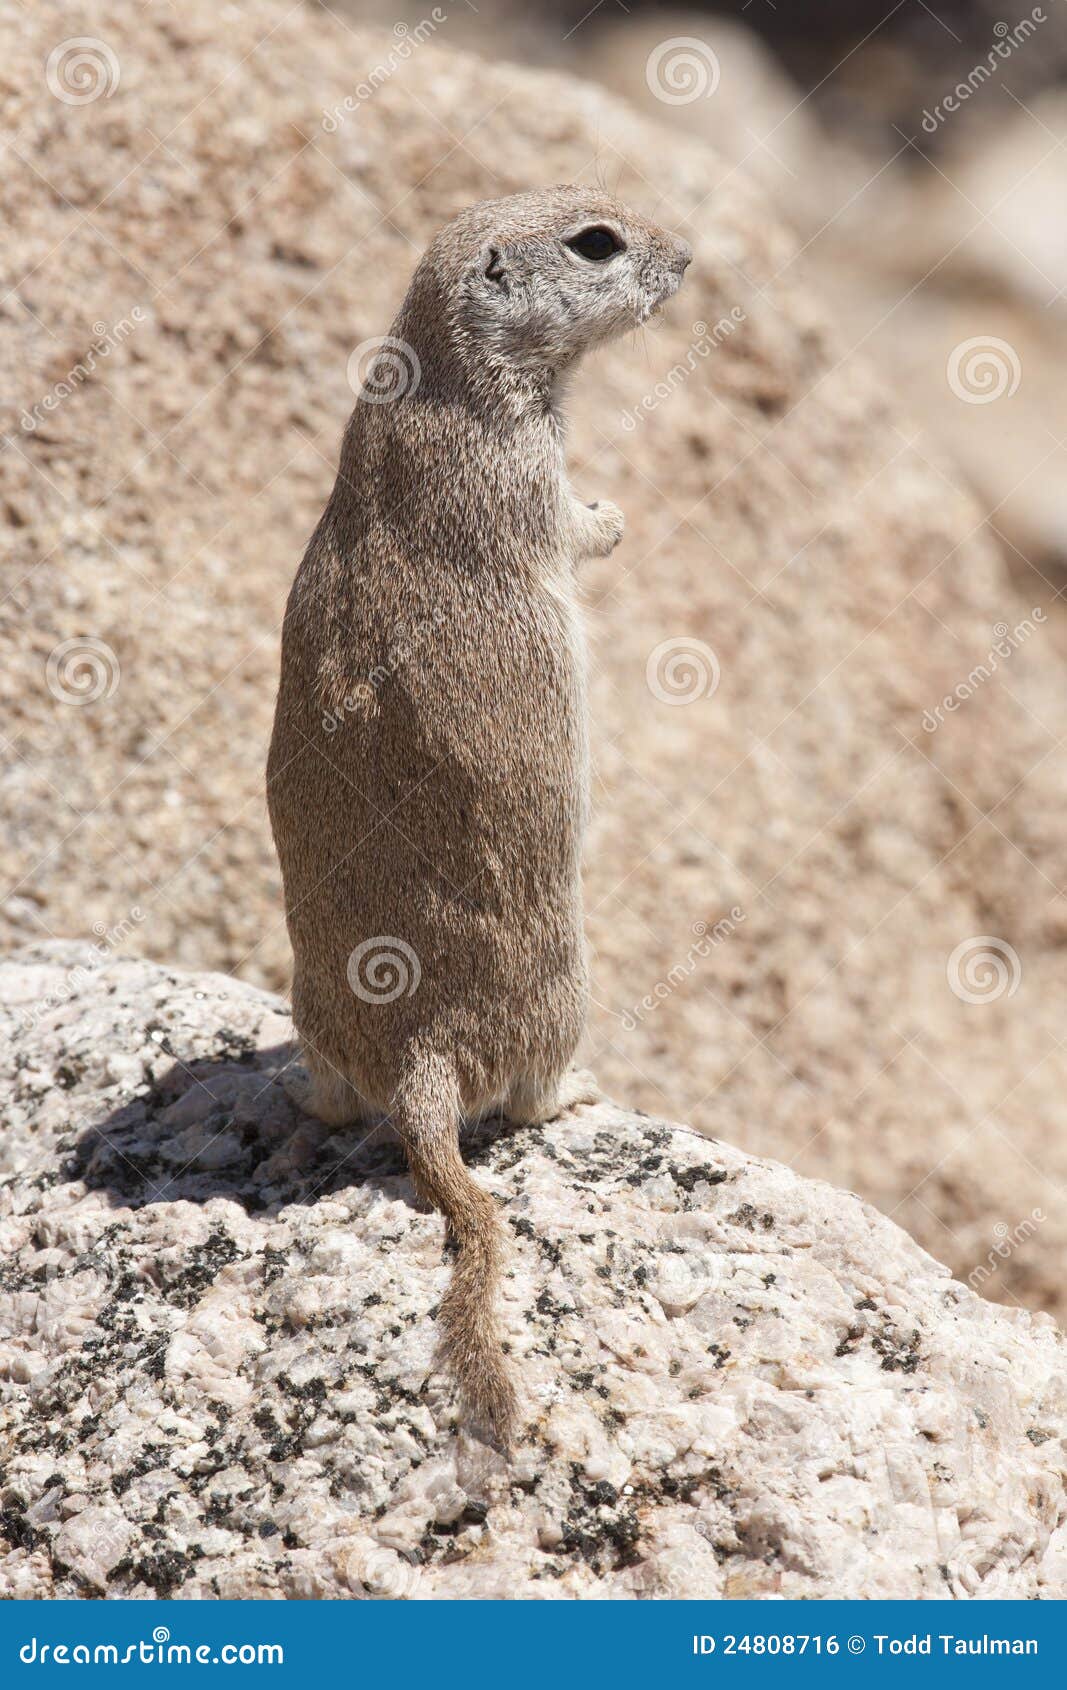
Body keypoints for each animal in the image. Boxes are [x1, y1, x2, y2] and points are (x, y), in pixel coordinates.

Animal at [267, 186, 691, 1447]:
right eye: (596, 242)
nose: (688, 259)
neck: (446, 374)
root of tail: (421, 1060)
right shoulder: (518, 470)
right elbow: (571, 526)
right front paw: (612, 512)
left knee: (336, 1088)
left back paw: (300, 1090)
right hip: (566, 982)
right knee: (533, 1090)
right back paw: (583, 1089)